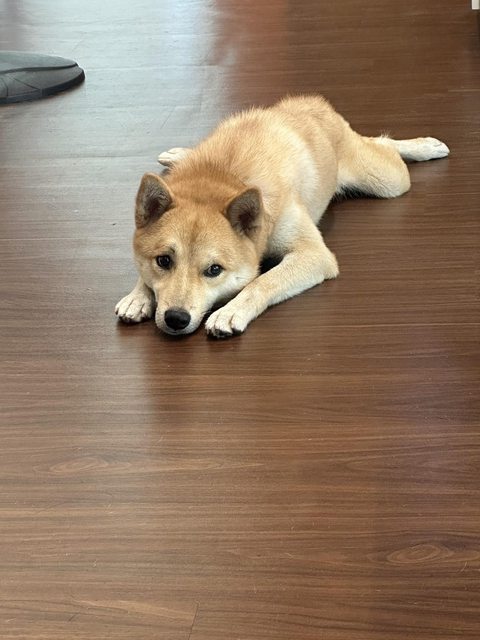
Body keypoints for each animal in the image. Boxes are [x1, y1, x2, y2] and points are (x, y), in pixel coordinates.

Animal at [115, 95, 449, 338]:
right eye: (163, 261)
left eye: (214, 270)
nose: (176, 318)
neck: (223, 176)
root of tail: (316, 103)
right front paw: (138, 295)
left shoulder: (314, 255)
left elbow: (262, 282)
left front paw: (231, 310)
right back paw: (178, 155)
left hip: (387, 182)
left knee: (382, 142)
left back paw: (424, 146)